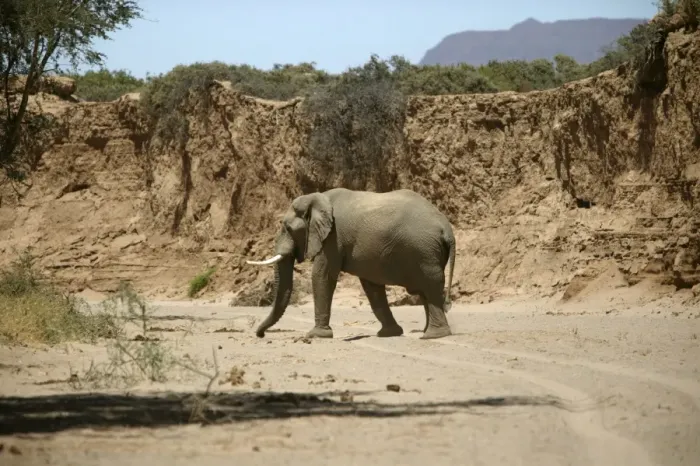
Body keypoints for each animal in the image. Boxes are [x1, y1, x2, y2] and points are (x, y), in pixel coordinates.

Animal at [246, 187, 456, 340]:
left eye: (287, 228)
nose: (260, 334)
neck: (317, 198)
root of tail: (447, 229)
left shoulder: (333, 238)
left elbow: (322, 275)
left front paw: (316, 335)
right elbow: (371, 286)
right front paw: (388, 334)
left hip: (424, 251)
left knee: (429, 287)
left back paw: (433, 335)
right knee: (424, 291)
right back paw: (427, 332)